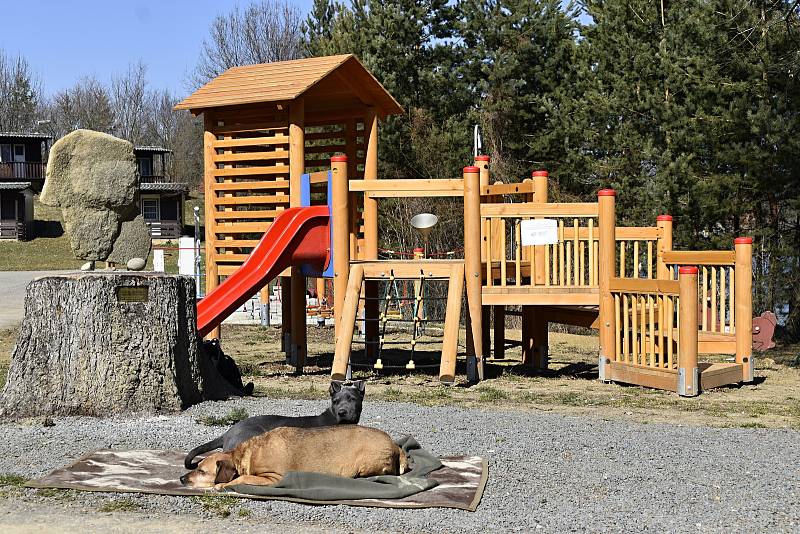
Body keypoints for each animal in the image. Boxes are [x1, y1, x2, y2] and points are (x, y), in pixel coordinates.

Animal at [180, 426, 406, 492]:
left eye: (202, 471)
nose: (181, 478)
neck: (246, 455)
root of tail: (396, 445)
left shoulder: (273, 478)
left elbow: (241, 479)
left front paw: (222, 485)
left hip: (365, 464)